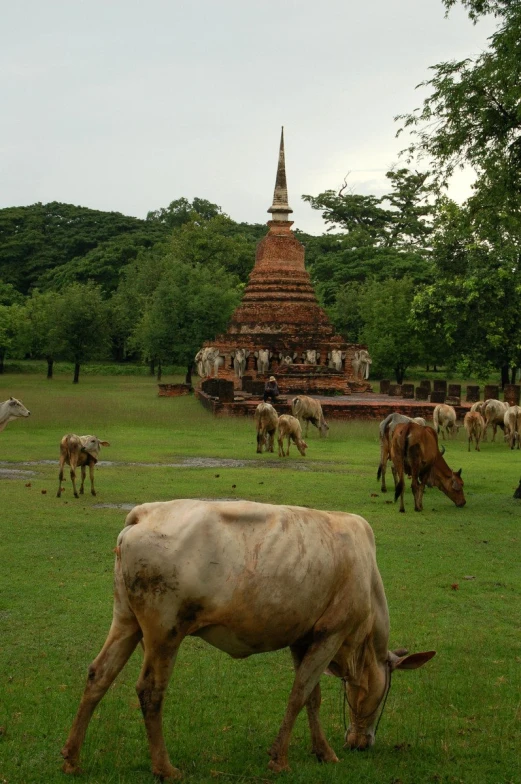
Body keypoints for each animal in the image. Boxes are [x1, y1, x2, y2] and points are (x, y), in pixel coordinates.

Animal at [61, 500, 434, 780]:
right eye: (385, 694)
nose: (363, 742)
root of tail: (144, 514)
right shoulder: (332, 633)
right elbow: (299, 695)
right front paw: (279, 759)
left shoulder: (303, 637)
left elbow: (312, 698)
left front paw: (322, 751)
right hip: (164, 631)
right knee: (150, 691)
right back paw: (164, 768)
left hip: (126, 619)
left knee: (99, 674)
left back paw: (72, 758)